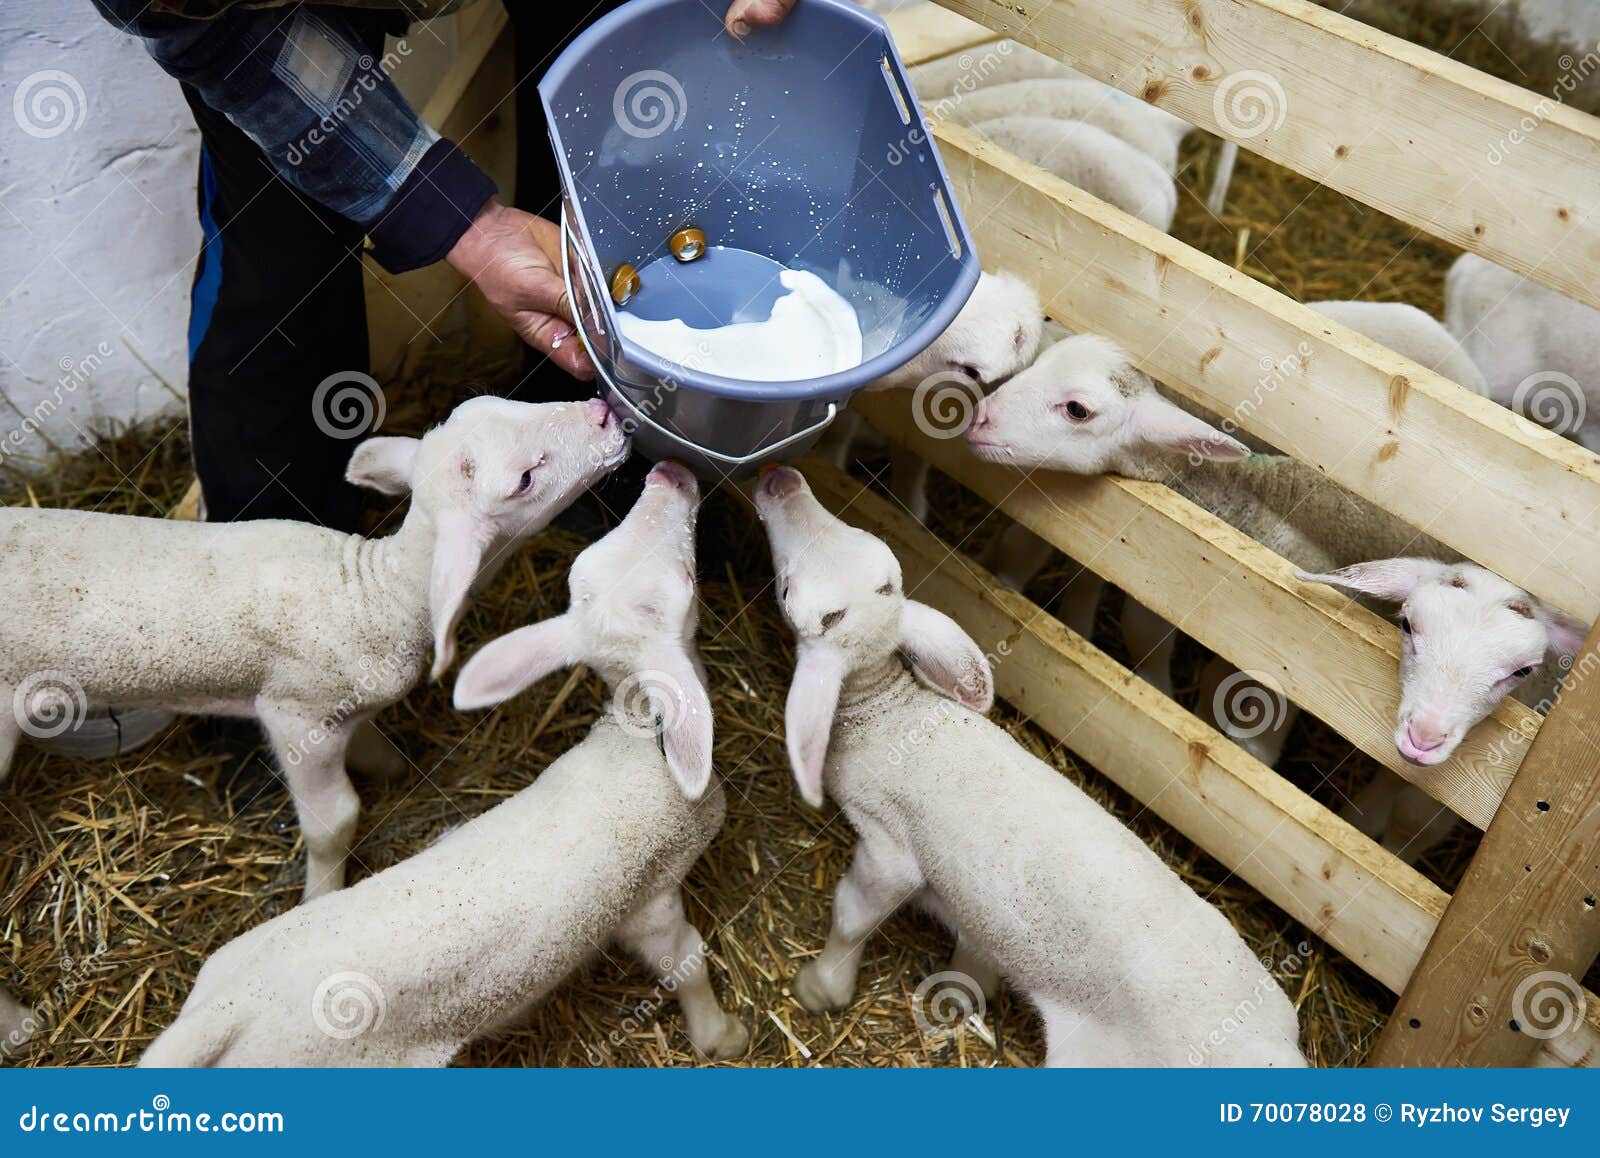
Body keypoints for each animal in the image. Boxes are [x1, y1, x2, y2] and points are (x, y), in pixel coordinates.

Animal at [0, 396, 629, 903]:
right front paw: (320, 898)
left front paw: (394, 769)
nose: (604, 411)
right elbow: (335, 819)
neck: (379, 590)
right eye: (525, 478)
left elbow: (372, 741)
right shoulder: (295, 715)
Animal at [141, 461, 747, 1067]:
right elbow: (686, 960)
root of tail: (227, 1016)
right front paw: (723, 1035)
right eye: (687, 582)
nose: (669, 472)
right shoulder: (652, 897)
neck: (638, 739)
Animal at [752, 465, 1305, 1066]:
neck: (890, 713)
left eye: (787, 589)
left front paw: (820, 988)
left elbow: (851, 914)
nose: (780, 479)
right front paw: (969, 982)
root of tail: (1273, 1045)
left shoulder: (887, 847)